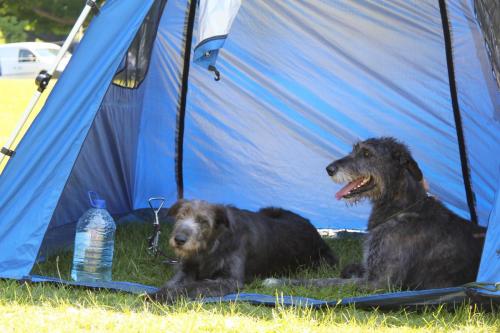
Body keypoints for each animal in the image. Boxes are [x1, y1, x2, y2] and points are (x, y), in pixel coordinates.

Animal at [148, 198, 336, 302]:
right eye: (181, 216)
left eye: (203, 221)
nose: (179, 240)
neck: (211, 246)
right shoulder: (187, 268)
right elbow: (174, 282)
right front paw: (159, 292)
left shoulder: (230, 280)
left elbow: (193, 286)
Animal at [266, 136, 484, 290]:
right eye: (354, 150)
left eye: (367, 154)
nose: (329, 169)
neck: (399, 209)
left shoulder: (379, 283)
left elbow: (325, 281)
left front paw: (279, 282)